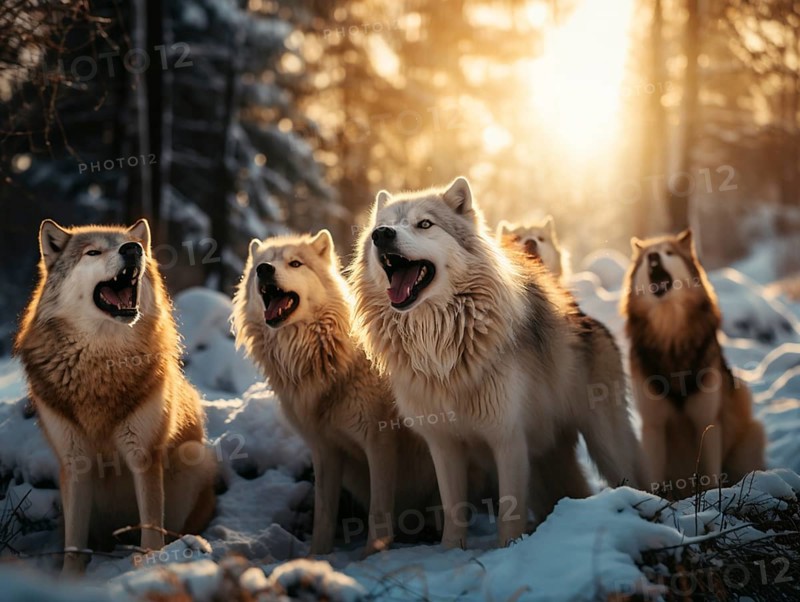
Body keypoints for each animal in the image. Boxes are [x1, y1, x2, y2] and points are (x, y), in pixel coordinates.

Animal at [14, 219, 217, 573]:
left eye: (128, 244)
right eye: (93, 252)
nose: (133, 249)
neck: (102, 363)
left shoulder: (144, 456)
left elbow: (151, 529)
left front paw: (151, 563)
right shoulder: (75, 463)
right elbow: (74, 542)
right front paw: (69, 578)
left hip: (195, 459)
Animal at [231, 230, 437, 555]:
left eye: (295, 263)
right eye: (261, 265)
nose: (264, 269)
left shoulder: (380, 443)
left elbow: (378, 511)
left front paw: (371, 557)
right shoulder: (324, 450)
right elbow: (324, 515)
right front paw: (316, 556)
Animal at [349, 177, 647, 549]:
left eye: (424, 224)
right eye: (382, 226)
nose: (382, 235)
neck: (441, 352)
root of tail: (584, 316)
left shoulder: (508, 438)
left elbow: (509, 511)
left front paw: (509, 549)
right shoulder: (443, 444)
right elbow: (453, 511)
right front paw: (451, 552)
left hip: (606, 444)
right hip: (548, 459)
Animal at [621, 229, 765, 498]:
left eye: (669, 253)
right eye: (647, 256)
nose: (654, 258)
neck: (670, 338)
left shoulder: (706, 421)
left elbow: (710, 477)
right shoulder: (653, 426)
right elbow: (655, 480)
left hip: (751, 429)